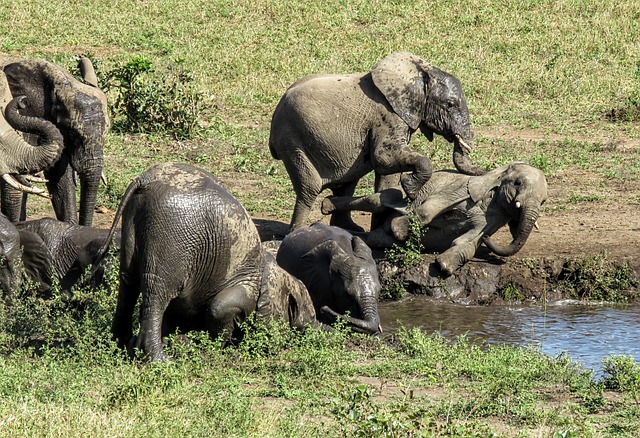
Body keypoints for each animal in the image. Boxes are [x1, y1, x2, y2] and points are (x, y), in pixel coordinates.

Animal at [97, 163, 328, 362]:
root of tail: (145, 179)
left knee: (128, 283)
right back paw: (160, 361)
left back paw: (119, 346)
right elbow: (221, 307)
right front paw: (215, 346)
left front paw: (181, 341)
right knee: (157, 293)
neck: (268, 265)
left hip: (133, 220)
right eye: (307, 316)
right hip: (171, 235)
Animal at [270, 50, 484, 233]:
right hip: (291, 139)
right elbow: (383, 159)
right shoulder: (388, 116)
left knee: (347, 183)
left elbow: (386, 176)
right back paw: (297, 233)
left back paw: (349, 229)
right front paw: (409, 187)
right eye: (450, 104)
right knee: (310, 188)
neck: (421, 71)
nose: (485, 170)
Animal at [322, 163, 548, 276]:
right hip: (396, 197)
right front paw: (400, 229)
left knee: (377, 238)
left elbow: (467, 243)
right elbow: (430, 208)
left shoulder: (491, 222)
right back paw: (327, 205)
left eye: (544, 200)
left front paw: (444, 266)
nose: (488, 240)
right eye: (518, 183)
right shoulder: (460, 189)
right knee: (379, 200)